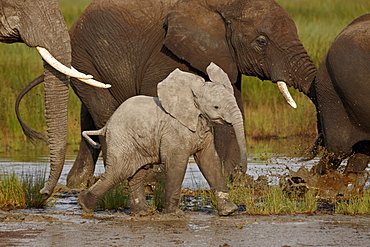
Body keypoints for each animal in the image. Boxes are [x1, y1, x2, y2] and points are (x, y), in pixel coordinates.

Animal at [79, 63, 247, 216]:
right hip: (122, 139)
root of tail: (107, 125)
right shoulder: (173, 132)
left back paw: (143, 212)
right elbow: (176, 164)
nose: (240, 171)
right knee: (119, 172)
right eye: (216, 107)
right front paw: (174, 214)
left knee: (138, 173)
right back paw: (85, 206)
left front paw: (229, 211)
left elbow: (209, 161)